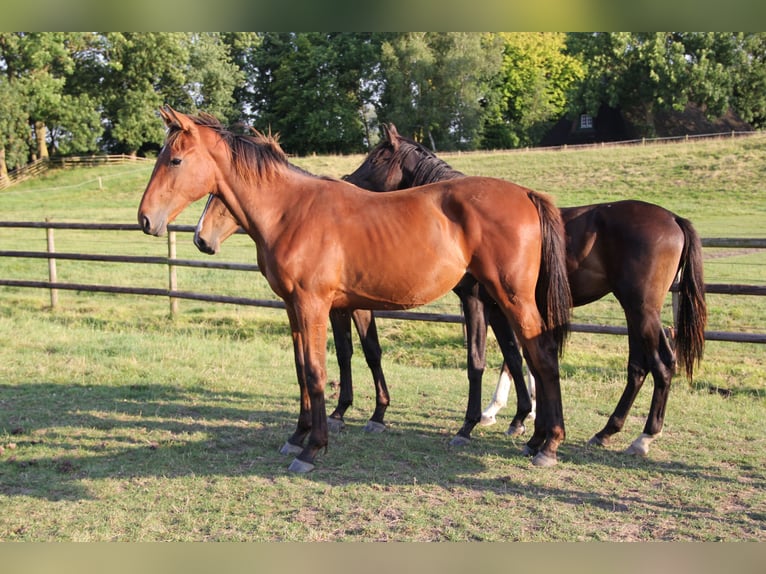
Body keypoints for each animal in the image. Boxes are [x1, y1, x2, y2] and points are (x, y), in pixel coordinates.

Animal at [137, 106, 572, 472]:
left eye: (175, 160)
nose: (145, 219)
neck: (291, 212)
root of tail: (527, 194)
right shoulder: (295, 308)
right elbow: (302, 369)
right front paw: (298, 435)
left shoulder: (314, 305)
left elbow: (318, 371)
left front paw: (313, 448)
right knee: (532, 358)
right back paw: (534, 440)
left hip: (511, 298)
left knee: (542, 357)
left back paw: (548, 445)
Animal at [346, 123, 707, 457]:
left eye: (377, 157)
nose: (348, 182)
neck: (458, 223)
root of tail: (674, 218)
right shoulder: (499, 306)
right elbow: (516, 358)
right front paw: (521, 417)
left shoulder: (479, 302)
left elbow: (482, 360)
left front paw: (476, 422)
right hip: (636, 310)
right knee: (640, 366)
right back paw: (607, 431)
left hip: (640, 308)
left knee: (660, 364)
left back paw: (643, 437)